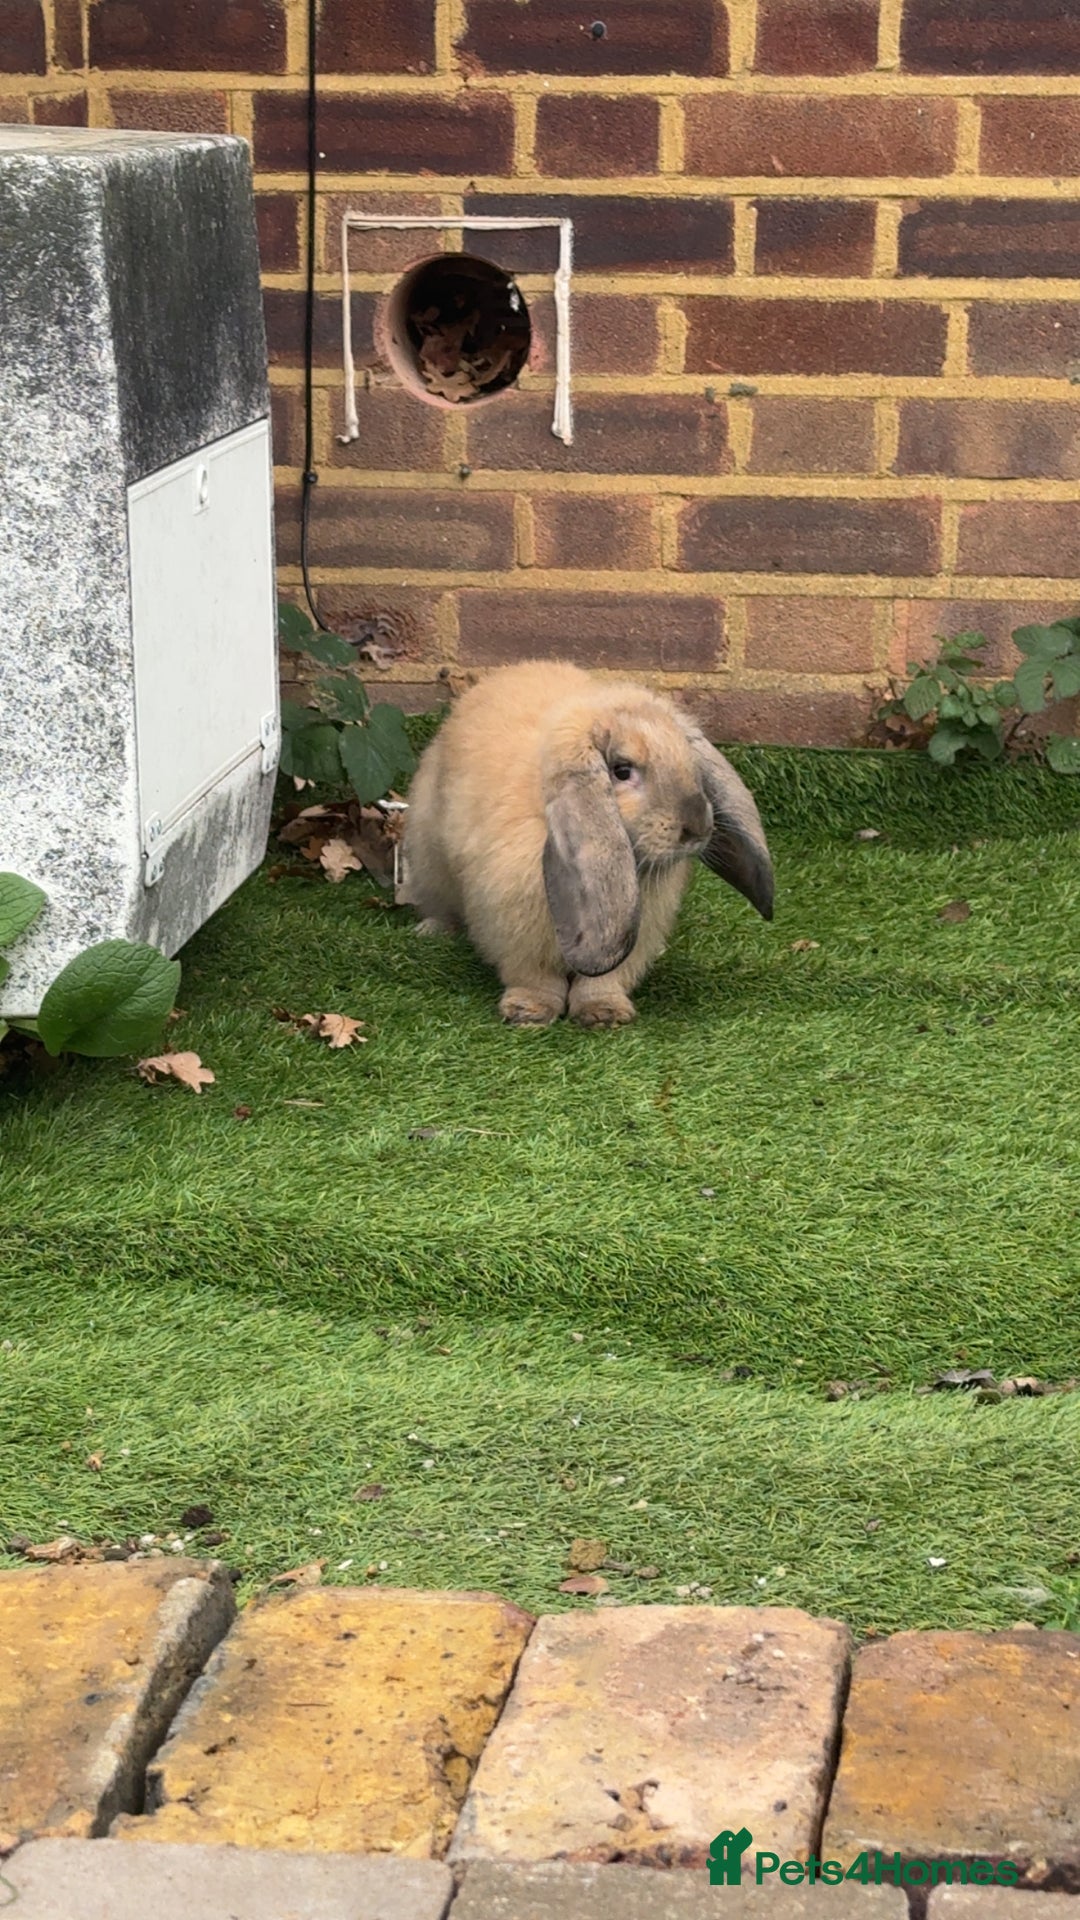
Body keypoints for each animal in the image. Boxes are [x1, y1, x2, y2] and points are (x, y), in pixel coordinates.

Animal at [401, 660, 773, 1027]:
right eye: (621, 770)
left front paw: (604, 1014)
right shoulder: (515, 931)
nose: (697, 829)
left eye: (690, 764)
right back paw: (432, 931)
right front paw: (528, 1012)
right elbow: (535, 977)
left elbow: (604, 980)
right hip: (428, 859)